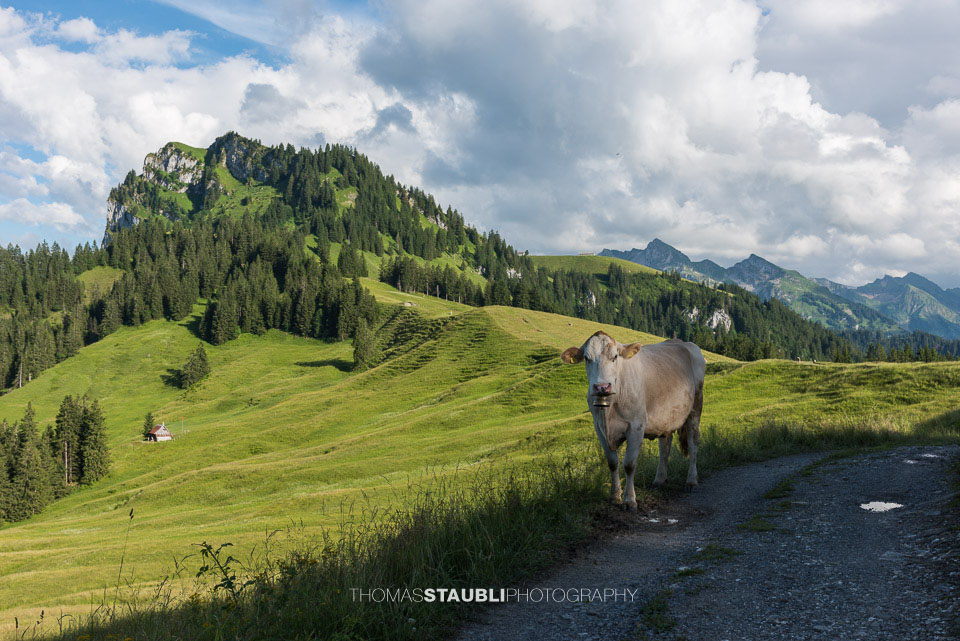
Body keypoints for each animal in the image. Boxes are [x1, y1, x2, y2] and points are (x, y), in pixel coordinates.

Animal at [561, 331, 706, 510]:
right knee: (665, 447)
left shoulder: (636, 426)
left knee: (693, 444)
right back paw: (659, 480)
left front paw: (630, 500)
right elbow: (612, 463)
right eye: (587, 358)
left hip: (695, 408)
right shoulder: (599, 429)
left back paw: (691, 481)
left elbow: (629, 464)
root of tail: (683, 343)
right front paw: (614, 496)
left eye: (615, 356)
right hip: (666, 417)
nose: (602, 387)